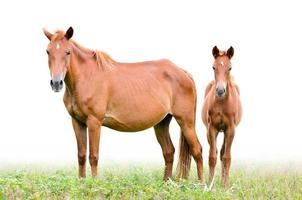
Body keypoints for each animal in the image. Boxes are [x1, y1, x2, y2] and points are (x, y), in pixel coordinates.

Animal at [42, 27, 203, 183]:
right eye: (48, 51)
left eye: (67, 52)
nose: (56, 83)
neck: (87, 77)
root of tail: (183, 72)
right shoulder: (77, 122)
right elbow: (81, 155)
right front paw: (81, 183)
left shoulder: (94, 122)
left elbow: (93, 156)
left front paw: (93, 185)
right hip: (162, 123)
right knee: (169, 152)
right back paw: (166, 183)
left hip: (186, 121)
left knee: (197, 150)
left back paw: (202, 185)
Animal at [202, 45, 242, 189]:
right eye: (213, 67)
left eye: (230, 68)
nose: (220, 91)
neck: (221, 103)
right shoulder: (211, 128)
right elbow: (212, 157)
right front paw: (209, 184)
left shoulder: (230, 129)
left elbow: (226, 158)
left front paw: (225, 186)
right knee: (216, 152)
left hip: (225, 132)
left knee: (223, 153)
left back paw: (223, 181)